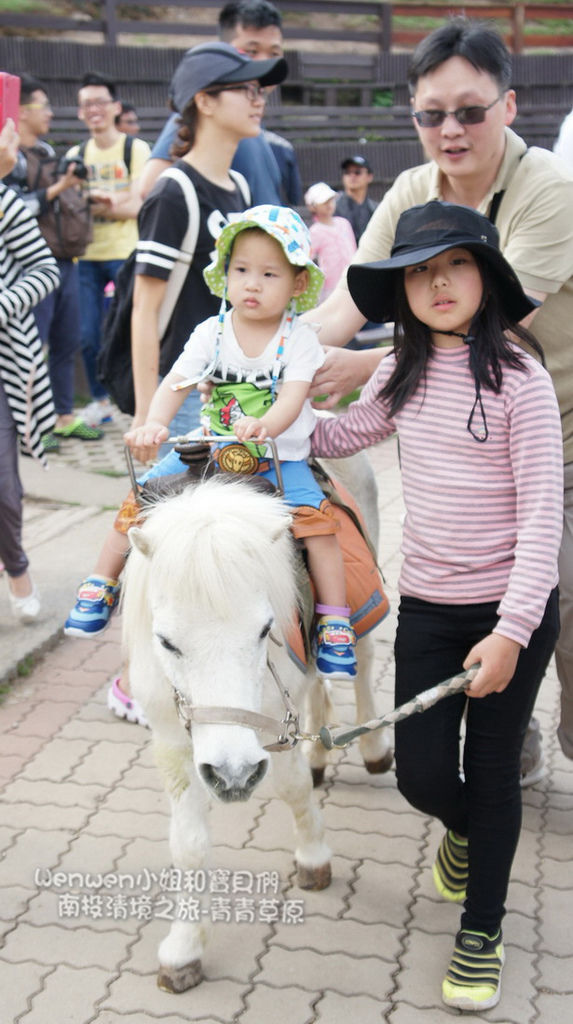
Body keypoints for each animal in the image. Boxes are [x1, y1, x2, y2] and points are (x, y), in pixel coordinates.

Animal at [120, 468, 388, 991]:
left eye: (265, 629)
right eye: (166, 641)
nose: (234, 775)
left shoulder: (272, 729)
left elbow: (291, 787)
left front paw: (313, 856)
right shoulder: (172, 740)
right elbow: (188, 844)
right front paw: (184, 949)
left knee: (361, 665)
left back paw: (371, 748)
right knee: (318, 689)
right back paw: (322, 754)